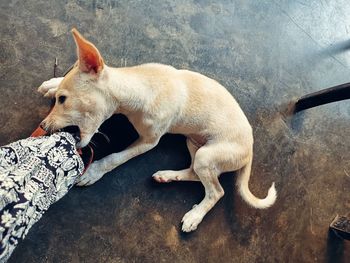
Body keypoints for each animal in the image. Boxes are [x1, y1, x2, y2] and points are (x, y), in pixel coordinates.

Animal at [37, 28, 274, 233]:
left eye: (63, 100)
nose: (43, 127)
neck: (140, 89)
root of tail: (250, 149)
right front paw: (53, 83)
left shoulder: (149, 141)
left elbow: (116, 158)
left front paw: (94, 172)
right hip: (194, 144)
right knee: (195, 173)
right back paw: (167, 176)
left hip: (208, 154)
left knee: (217, 191)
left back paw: (195, 216)